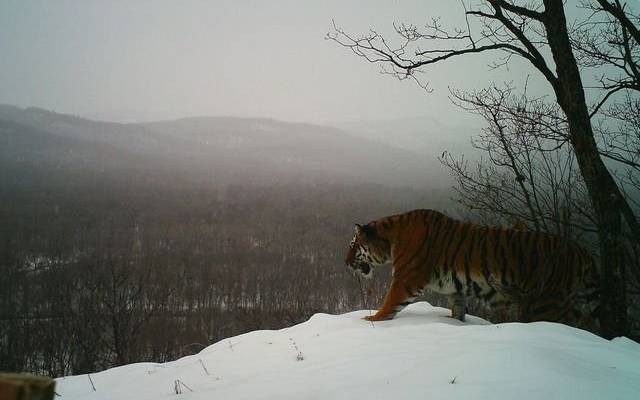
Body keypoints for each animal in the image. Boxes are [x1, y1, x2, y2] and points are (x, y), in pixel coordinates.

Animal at [344, 209, 600, 324]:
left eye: (353, 245)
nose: (345, 263)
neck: (391, 241)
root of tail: (581, 249)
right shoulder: (454, 288)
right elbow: (458, 310)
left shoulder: (406, 279)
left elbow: (389, 302)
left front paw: (371, 320)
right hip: (559, 299)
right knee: (581, 317)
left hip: (546, 301)